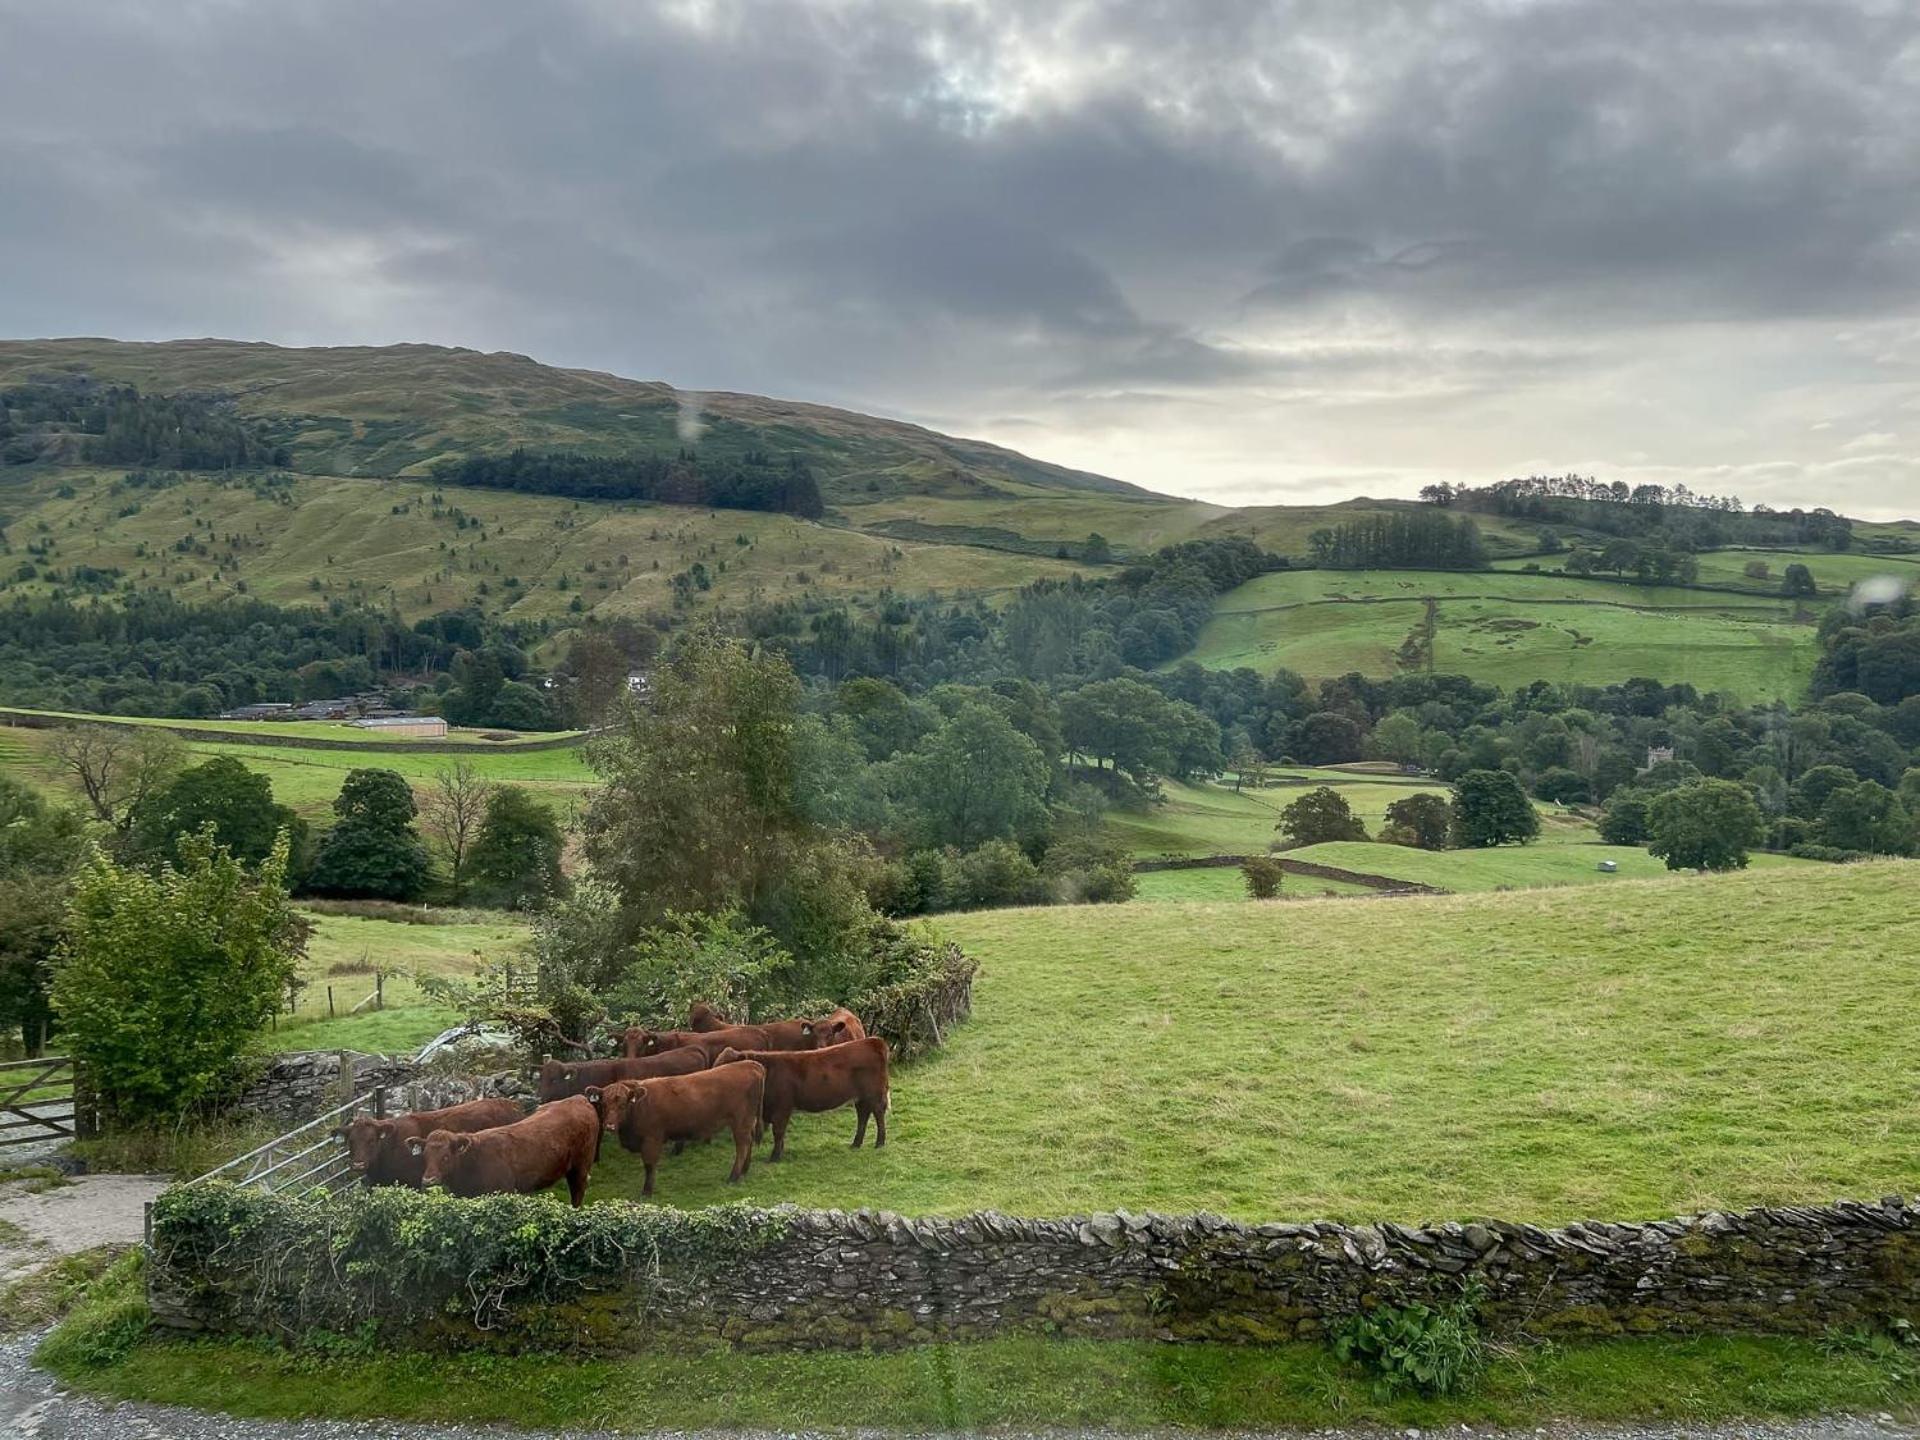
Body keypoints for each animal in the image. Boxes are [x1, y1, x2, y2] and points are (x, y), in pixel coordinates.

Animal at [410, 1098, 599, 1213]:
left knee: (578, 1192)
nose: (428, 1180)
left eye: (446, 1157)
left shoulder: (503, 1192)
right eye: (425, 1156)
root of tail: (577, 1099)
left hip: (580, 1167)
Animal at [587, 1067, 760, 1198]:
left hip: (740, 1123)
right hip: (748, 1122)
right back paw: (745, 1170)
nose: (609, 1125)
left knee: (742, 1146)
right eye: (603, 1104)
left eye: (623, 1104)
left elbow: (649, 1166)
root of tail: (749, 1065)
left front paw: (647, 1192)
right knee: (749, 1142)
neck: (639, 1107)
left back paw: (733, 1176)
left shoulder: (651, 1140)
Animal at [718, 1036, 887, 1159]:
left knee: (878, 1114)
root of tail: (873, 1041)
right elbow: (780, 1133)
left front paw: (774, 1156)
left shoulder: (782, 1108)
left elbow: (778, 1131)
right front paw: (780, 1152)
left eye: (727, 1067)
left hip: (874, 1094)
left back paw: (880, 1142)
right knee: (863, 1116)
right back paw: (856, 1143)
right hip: (861, 1098)